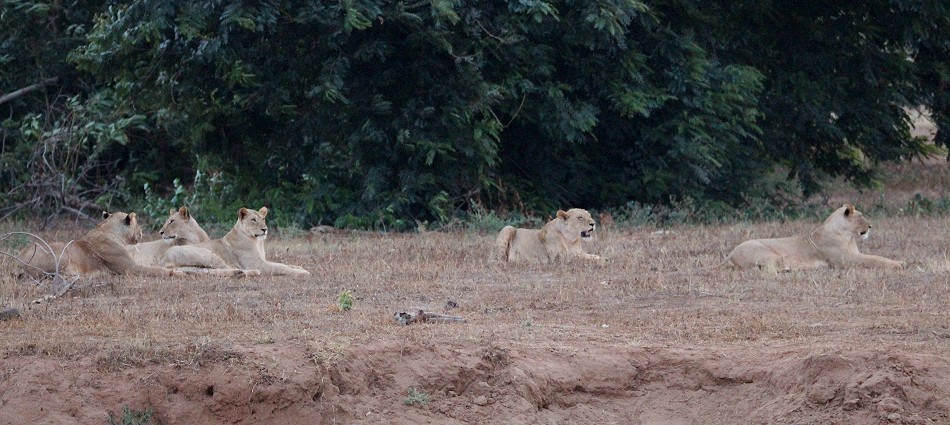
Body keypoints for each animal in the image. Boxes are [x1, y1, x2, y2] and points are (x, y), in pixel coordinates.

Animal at [17, 212, 182, 278]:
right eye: (138, 224)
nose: (141, 232)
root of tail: (19, 263)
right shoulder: (130, 268)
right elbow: (155, 270)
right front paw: (178, 273)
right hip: (61, 253)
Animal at [162, 205, 310, 274]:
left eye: (263, 219)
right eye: (253, 220)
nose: (265, 229)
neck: (257, 242)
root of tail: (164, 258)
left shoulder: (262, 260)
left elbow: (284, 264)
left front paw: (299, 267)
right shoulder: (256, 263)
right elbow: (281, 267)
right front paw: (302, 272)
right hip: (208, 254)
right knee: (224, 269)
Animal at [720, 204, 908, 270]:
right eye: (861, 216)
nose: (870, 226)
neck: (847, 236)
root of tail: (730, 254)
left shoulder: (855, 254)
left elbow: (878, 256)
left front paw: (901, 261)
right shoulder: (846, 260)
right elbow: (875, 259)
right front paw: (898, 265)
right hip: (770, 255)